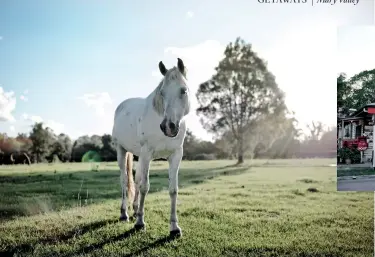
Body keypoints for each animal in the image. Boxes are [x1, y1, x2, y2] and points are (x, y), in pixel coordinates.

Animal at [111, 57, 188, 236]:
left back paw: (134, 209)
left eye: (183, 90)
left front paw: (174, 227)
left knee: (136, 179)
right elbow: (145, 187)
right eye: (162, 93)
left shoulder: (176, 155)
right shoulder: (147, 153)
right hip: (121, 151)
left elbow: (173, 189)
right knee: (124, 180)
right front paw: (140, 223)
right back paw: (124, 213)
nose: (168, 126)